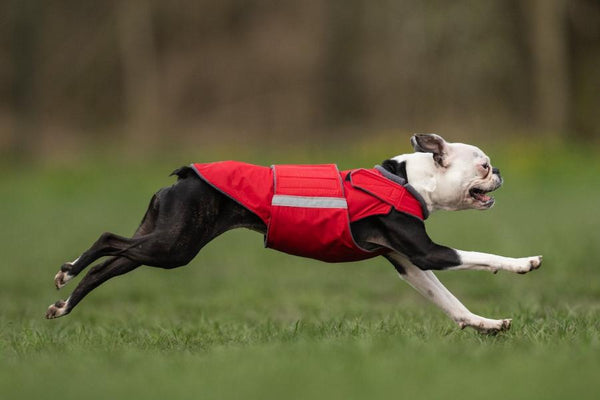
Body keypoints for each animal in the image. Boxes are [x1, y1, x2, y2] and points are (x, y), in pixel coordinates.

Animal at [47, 134, 540, 334]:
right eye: (482, 167)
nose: (499, 171)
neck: (407, 181)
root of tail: (185, 176)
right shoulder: (428, 254)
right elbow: (483, 257)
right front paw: (523, 264)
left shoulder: (409, 265)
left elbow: (450, 303)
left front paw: (486, 324)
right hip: (174, 245)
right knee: (108, 240)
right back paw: (67, 270)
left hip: (163, 238)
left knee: (110, 266)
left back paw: (64, 303)